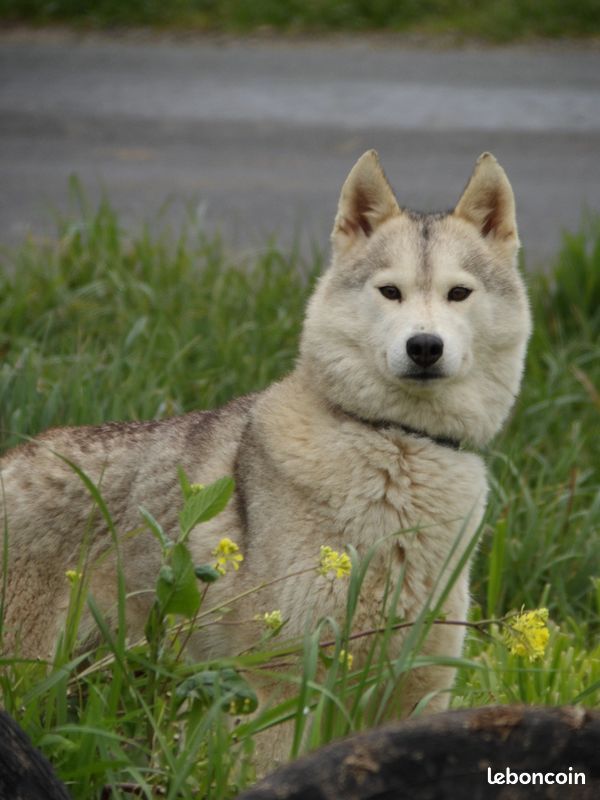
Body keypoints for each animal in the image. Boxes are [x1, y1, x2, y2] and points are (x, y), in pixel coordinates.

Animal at [0, 151, 531, 768]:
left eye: (459, 294)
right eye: (390, 292)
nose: (424, 346)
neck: (396, 445)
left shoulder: (418, 690)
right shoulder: (277, 685)